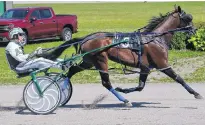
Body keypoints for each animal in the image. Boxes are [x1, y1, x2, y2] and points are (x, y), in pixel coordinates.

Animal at [40, 5, 203, 105]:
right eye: (188, 18)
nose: (194, 30)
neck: (156, 39)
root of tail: (86, 38)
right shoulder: (162, 65)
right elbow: (179, 78)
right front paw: (196, 93)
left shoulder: (145, 67)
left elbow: (140, 86)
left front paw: (123, 89)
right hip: (100, 60)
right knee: (105, 82)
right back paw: (124, 100)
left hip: (88, 61)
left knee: (71, 71)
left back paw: (61, 90)